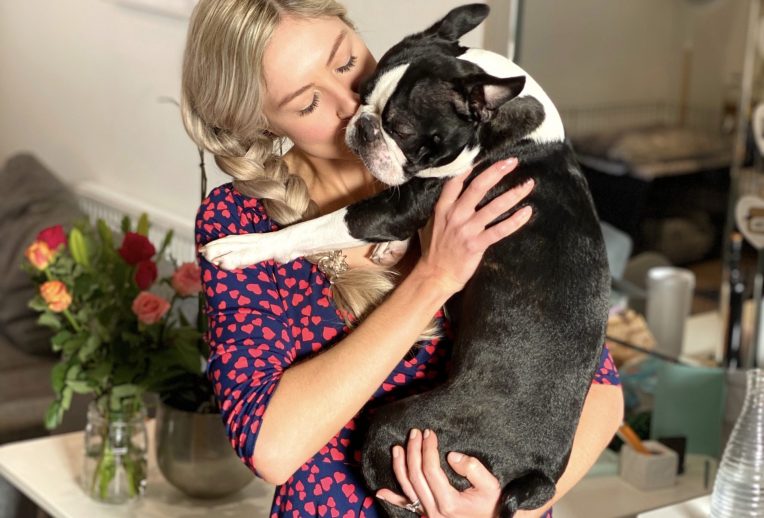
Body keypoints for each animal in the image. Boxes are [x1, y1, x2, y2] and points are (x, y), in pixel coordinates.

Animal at [203, 5, 608, 518]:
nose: (362, 125)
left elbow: (311, 228)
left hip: (395, 430)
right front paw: (392, 251)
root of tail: (537, 472)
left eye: (401, 129)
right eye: (360, 92)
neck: (498, 123)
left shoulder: (403, 202)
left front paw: (242, 247)